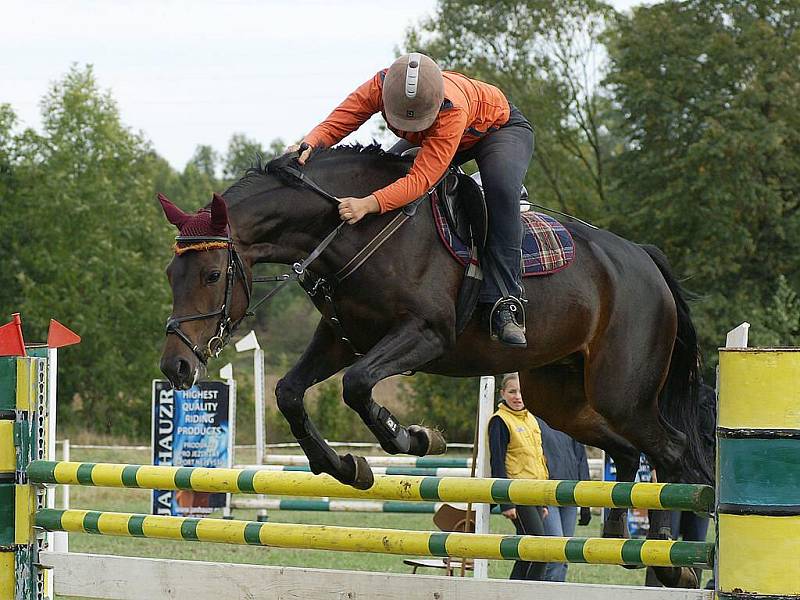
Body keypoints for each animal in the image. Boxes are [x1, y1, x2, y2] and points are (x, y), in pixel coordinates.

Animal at [159, 145, 708, 584]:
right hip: (563, 398)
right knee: (629, 450)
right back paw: (623, 538)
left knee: (673, 451)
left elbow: (357, 386)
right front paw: (344, 466)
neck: (353, 230)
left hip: (623, 394)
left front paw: (414, 439)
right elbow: (290, 393)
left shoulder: (424, 335)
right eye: (170, 273)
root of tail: (644, 258)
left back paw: (671, 559)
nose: (177, 368)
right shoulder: (342, 339)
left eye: (212, 275)